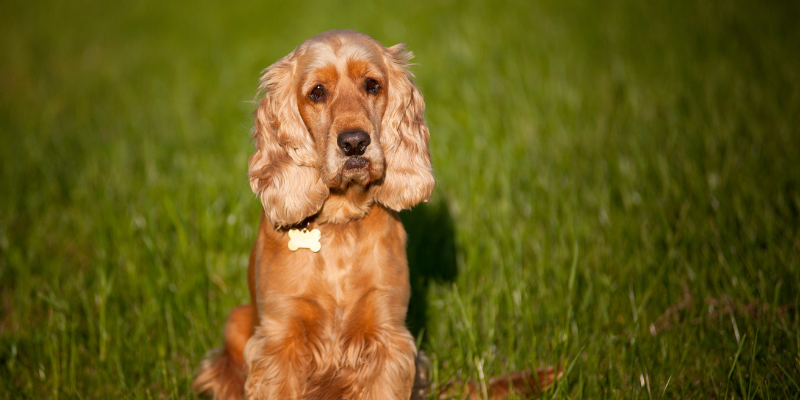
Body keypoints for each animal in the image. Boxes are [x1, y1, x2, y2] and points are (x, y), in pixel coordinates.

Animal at [193, 31, 556, 400]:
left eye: (372, 85)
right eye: (317, 92)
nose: (355, 142)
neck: (340, 223)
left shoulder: (387, 335)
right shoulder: (279, 339)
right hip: (236, 324)